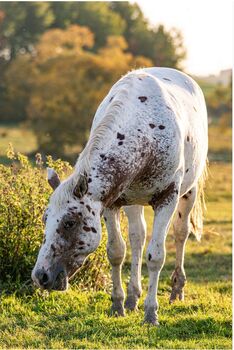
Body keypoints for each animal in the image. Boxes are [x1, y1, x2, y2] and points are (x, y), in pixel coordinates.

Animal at [31, 66, 208, 326]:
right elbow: (116, 252)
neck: (145, 131)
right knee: (137, 236)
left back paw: (176, 290)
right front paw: (118, 305)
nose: (41, 276)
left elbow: (156, 256)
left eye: (70, 223)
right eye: (45, 220)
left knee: (180, 233)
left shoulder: (167, 199)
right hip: (133, 202)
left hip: (189, 193)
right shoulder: (110, 203)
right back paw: (133, 297)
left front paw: (151, 313)